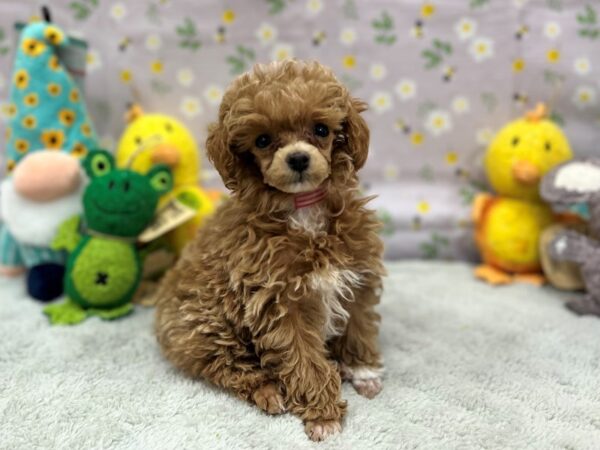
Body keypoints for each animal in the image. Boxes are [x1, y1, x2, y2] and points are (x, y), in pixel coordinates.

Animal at [155, 58, 384, 442]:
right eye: (263, 140)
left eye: (321, 130)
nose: (298, 158)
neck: (303, 207)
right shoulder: (279, 303)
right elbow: (303, 360)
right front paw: (323, 415)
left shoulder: (356, 273)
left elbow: (359, 325)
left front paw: (362, 370)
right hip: (205, 326)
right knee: (229, 367)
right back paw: (268, 392)